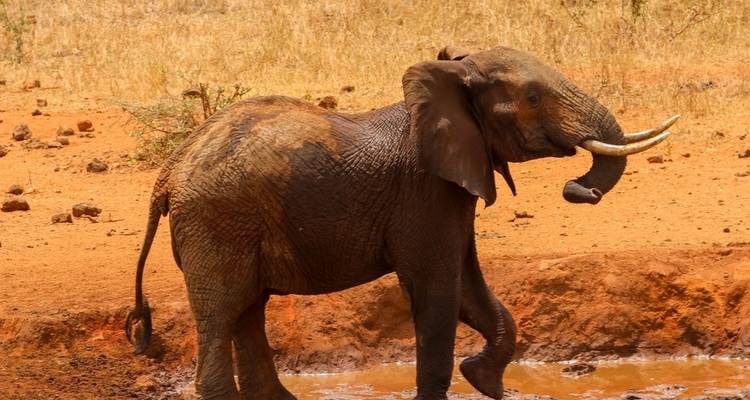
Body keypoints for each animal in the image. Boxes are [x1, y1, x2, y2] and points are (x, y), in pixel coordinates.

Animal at [125, 46, 676, 399]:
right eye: (534, 98)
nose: (579, 189)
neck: (451, 78)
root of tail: (169, 171)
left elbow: (469, 289)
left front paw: (485, 380)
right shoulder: (424, 191)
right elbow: (438, 290)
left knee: (248, 310)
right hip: (217, 223)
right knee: (223, 312)